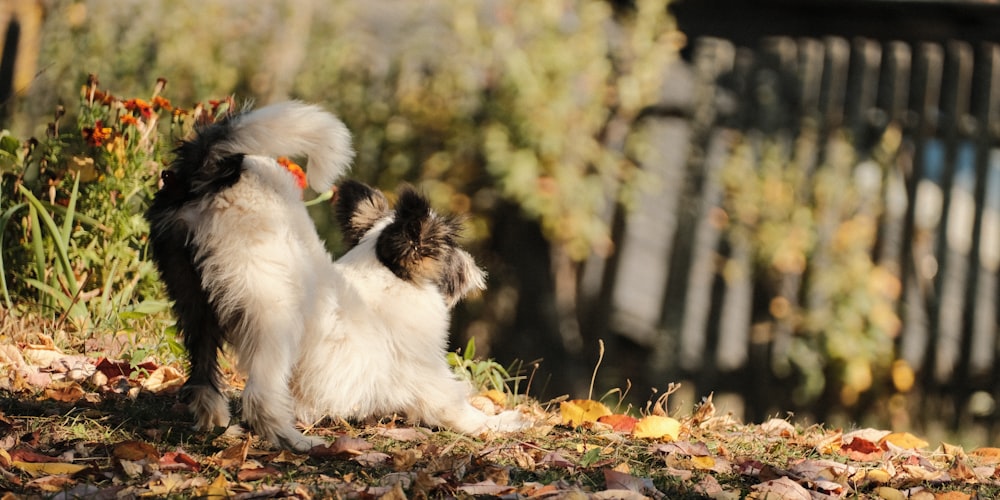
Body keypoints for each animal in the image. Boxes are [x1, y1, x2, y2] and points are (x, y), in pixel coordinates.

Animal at [147, 102, 528, 454]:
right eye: (450, 246)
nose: (475, 267)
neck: (386, 276)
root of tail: (216, 174)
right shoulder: (430, 382)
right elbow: (466, 413)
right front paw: (507, 420)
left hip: (193, 301)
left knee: (202, 376)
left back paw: (217, 423)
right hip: (275, 315)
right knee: (259, 396)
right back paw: (294, 441)